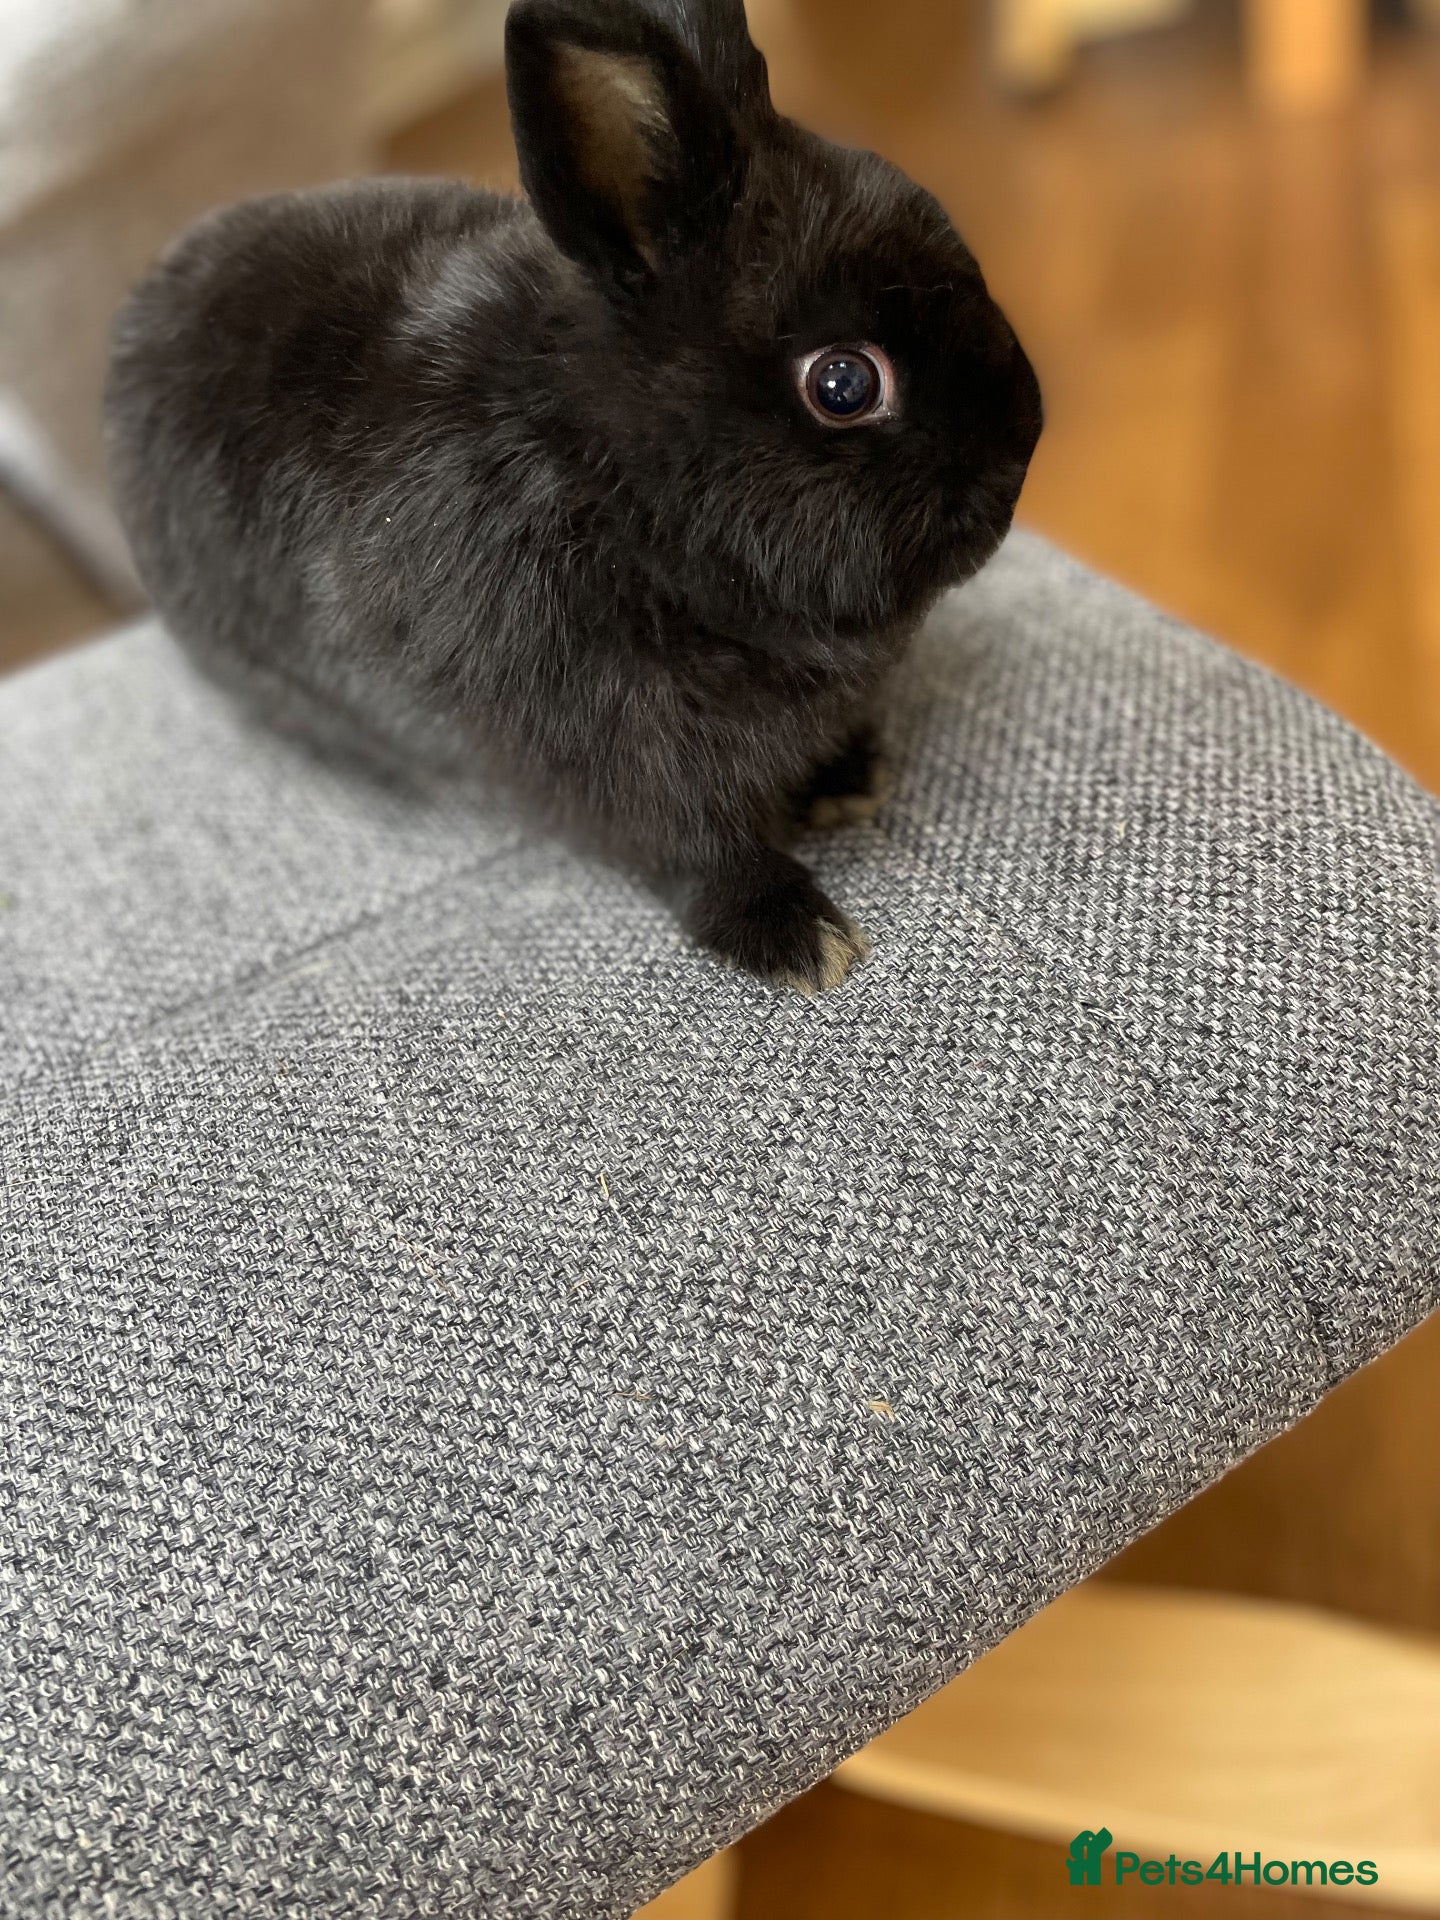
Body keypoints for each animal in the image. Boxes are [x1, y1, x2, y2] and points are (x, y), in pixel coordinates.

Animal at [105, 0, 1043, 995]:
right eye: (843, 385)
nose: (1023, 442)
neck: (608, 480)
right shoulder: (605, 763)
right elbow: (693, 851)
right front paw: (795, 937)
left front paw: (846, 781)